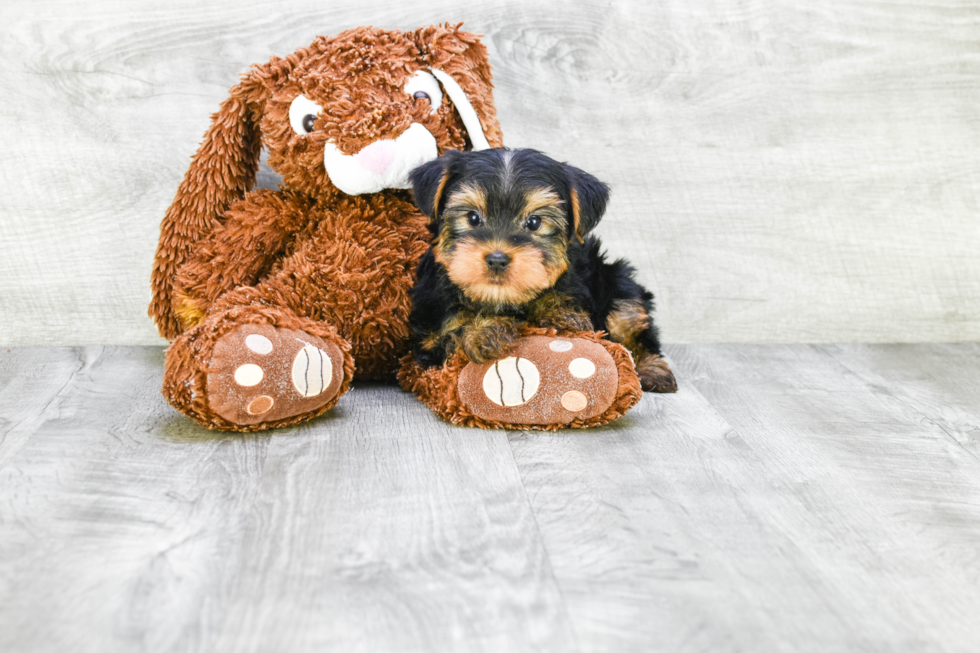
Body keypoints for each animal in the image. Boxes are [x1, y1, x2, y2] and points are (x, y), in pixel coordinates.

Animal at [410, 148, 676, 392]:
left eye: (534, 222)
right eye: (472, 218)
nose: (497, 259)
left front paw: (560, 313)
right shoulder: (428, 337)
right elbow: (450, 333)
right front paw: (482, 331)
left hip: (617, 280)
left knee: (630, 322)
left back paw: (652, 370)